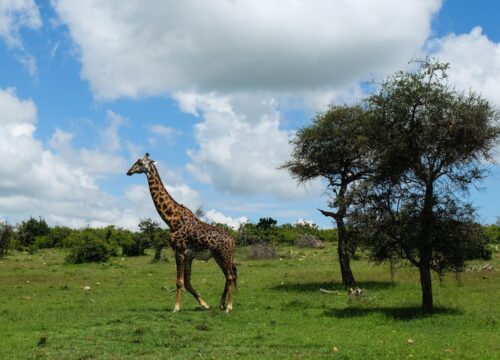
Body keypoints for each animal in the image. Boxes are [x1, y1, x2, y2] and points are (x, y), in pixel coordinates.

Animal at [126, 153, 237, 312]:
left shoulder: (178, 250)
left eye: (140, 163)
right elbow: (187, 282)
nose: (129, 171)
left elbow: (179, 281)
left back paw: (228, 307)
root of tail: (233, 241)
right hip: (218, 256)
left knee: (230, 276)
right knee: (229, 276)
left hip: (224, 255)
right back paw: (221, 303)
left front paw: (176, 308)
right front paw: (204, 304)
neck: (172, 219)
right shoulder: (188, 255)